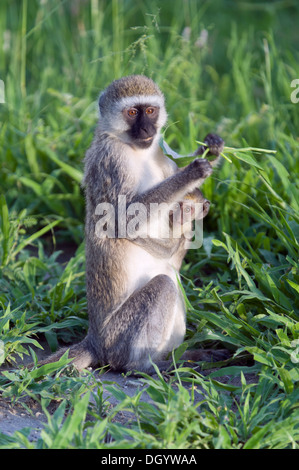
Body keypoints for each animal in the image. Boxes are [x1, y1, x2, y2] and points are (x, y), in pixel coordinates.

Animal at [36, 75, 226, 372]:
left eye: (149, 110)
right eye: (132, 113)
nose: (147, 128)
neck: (134, 149)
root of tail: (95, 341)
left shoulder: (161, 155)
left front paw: (211, 149)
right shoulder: (111, 161)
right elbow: (120, 222)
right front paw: (192, 172)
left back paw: (181, 357)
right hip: (117, 336)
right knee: (163, 286)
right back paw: (145, 367)